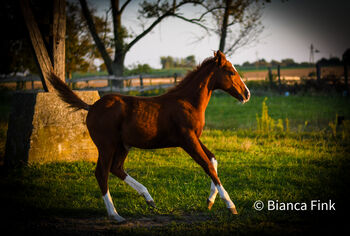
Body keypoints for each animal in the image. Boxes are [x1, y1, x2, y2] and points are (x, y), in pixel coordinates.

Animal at [49, 50, 250, 222]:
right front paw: (230, 205)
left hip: (123, 145)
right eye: (231, 72)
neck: (187, 102)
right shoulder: (187, 140)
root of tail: (91, 107)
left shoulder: (195, 138)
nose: (246, 94)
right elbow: (207, 165)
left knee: (116, 168)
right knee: (102, 172)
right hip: (106, 145)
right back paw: (115, 214)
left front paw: (210, 201)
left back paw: (149, 198)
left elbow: (213, 160)